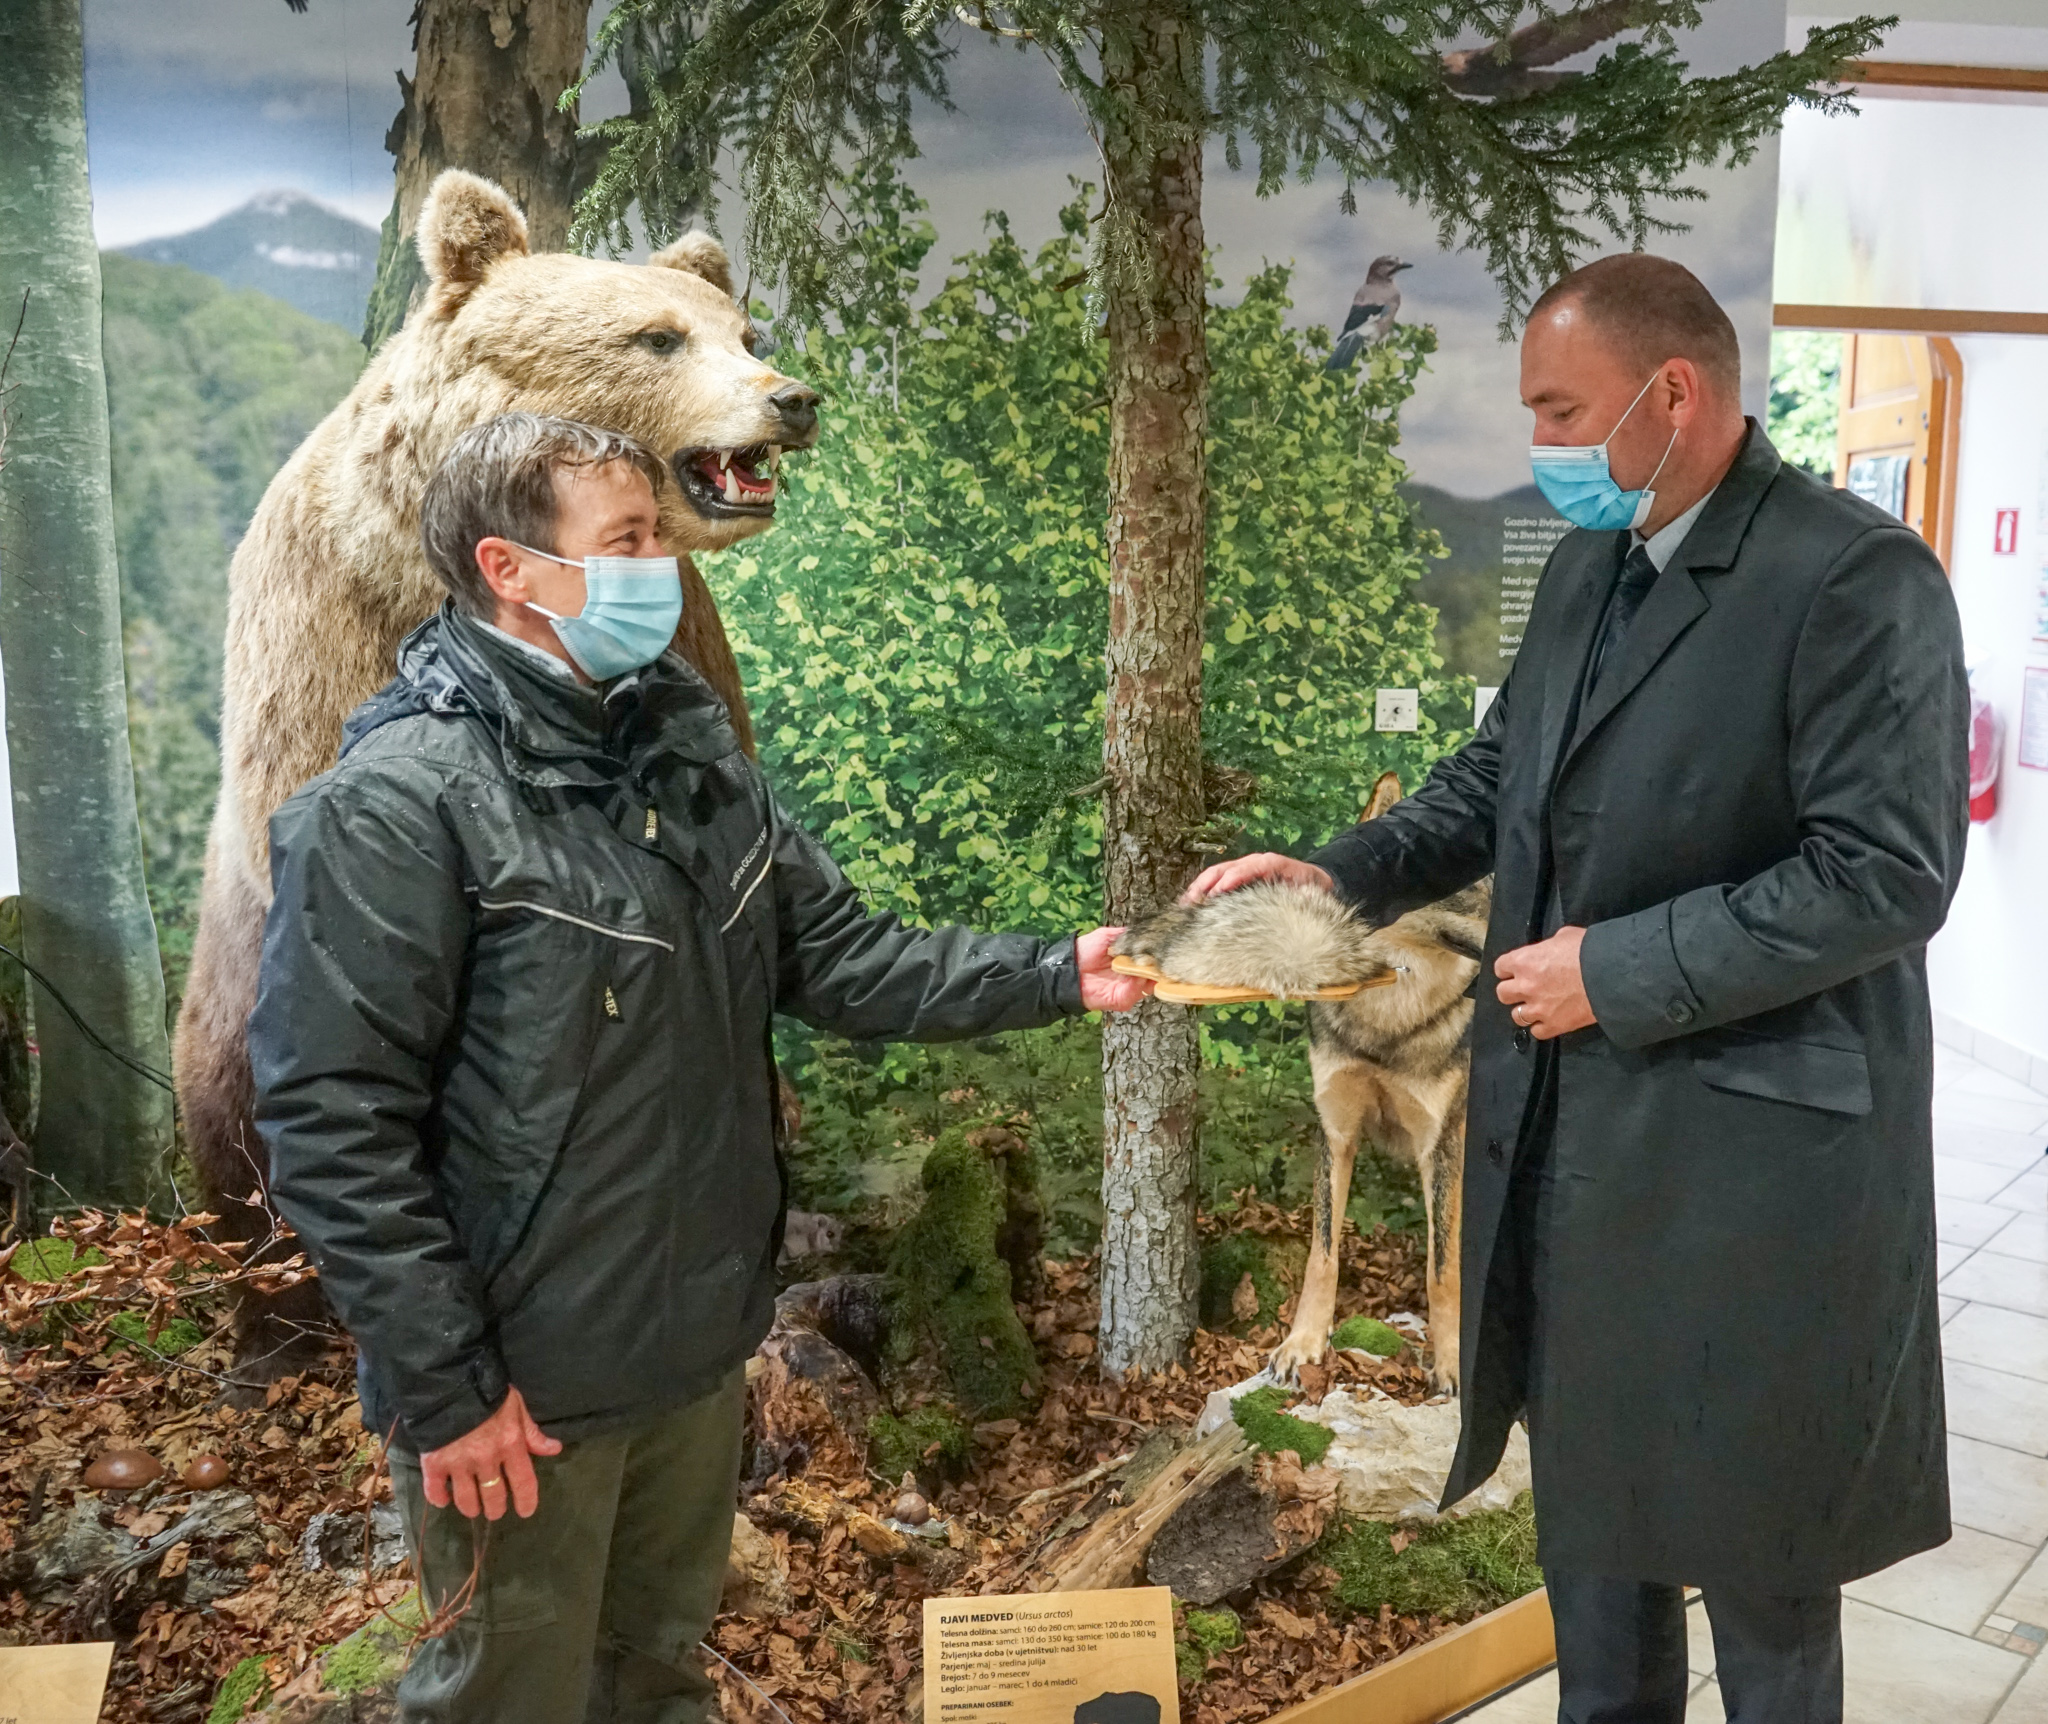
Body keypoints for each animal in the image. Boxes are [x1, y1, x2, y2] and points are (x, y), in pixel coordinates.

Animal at [1114, 773, 1487, 1392]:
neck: (1388, 1022)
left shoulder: (1442, 1146)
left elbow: (1443, 1269)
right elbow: (1323, 1254)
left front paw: (1453, 1361)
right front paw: (1303, 1345)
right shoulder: (1335, 1130)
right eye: (1464, 884)